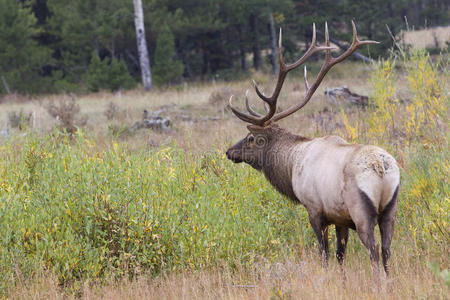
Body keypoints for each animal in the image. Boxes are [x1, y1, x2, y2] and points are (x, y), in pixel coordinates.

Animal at [225, 22, 400, 278]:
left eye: (250, 139)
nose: (229, 151)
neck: (291, 166)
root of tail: (381, 169)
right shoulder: (339, 217)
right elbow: (340, 255)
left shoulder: (315, 209)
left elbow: (323, 253)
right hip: (390, 208)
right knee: (387, 249)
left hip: (361, 210)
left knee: (374, 251)